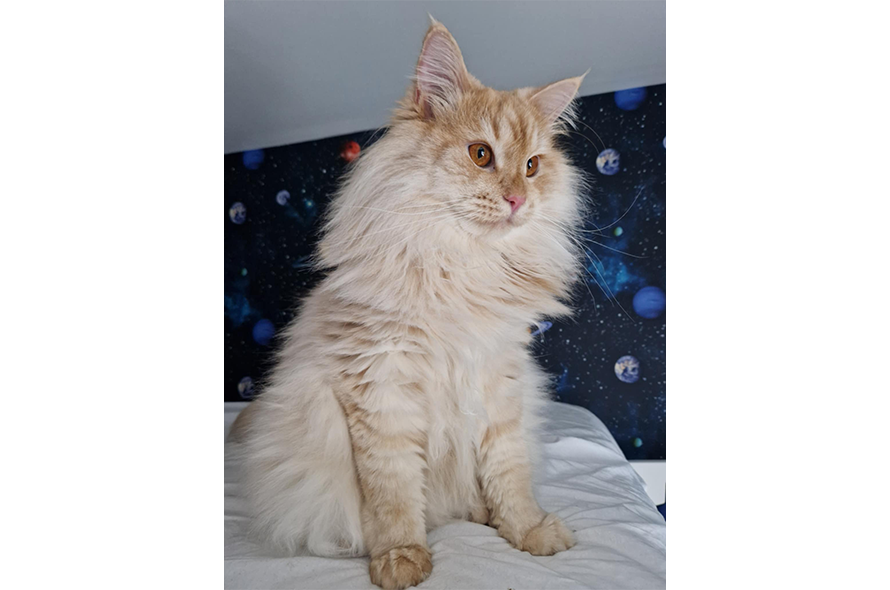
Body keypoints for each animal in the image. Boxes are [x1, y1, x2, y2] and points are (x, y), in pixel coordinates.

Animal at [232, 18, 588, 590]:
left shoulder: (500, 383)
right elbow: (394, 494)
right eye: (482, 154)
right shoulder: (380, 388)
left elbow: (509, 474)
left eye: (533, 167)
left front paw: (528, 531)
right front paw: (401, 559)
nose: (518, 199)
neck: (461, 269)